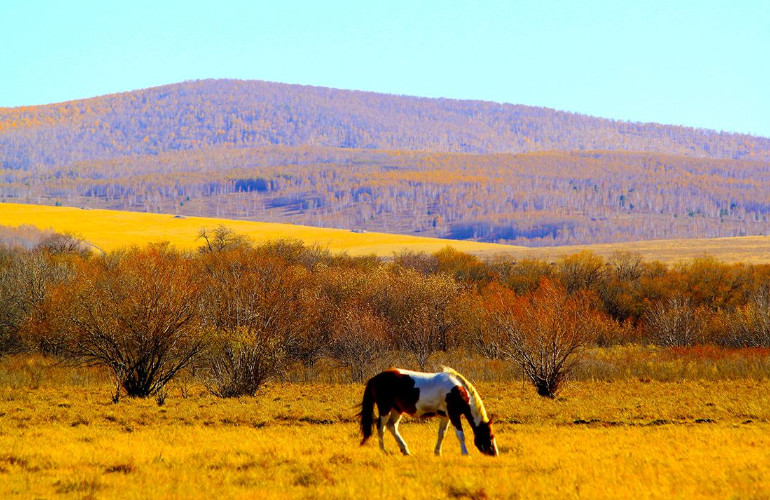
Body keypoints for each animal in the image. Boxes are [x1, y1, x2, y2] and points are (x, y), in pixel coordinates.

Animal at [360, 364, 498, 458]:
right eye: (490, 435)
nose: (494, 453)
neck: (457, 391)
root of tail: (374, 378)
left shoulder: (446, 416)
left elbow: (442, 433)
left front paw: (437, 452)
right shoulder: (453, 415)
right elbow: (460, 435)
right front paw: (465, 453)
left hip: (397, 409)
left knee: (391, 426)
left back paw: (405, 450)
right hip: (385, 408)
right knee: (381, 427)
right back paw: (383, 450)